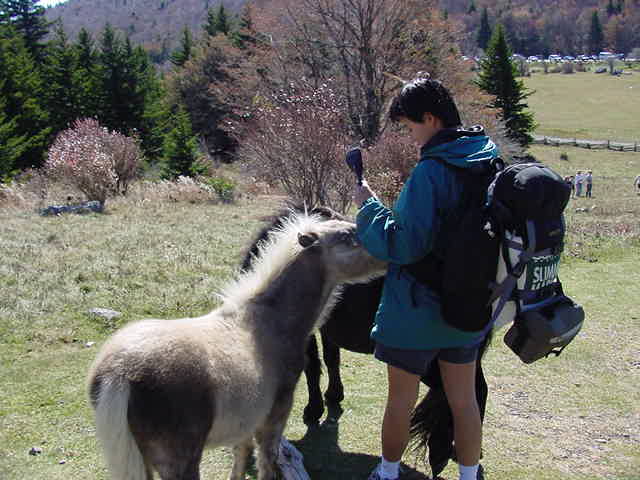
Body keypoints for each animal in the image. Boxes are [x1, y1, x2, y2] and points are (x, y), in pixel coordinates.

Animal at [85, 214, 384, 480]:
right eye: (347, 237)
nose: (386, 258)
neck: (269, 320)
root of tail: (119, 374)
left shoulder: (247, 422)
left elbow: (241, 457)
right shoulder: (274, 417)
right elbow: (266, 461)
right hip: (179, 461)